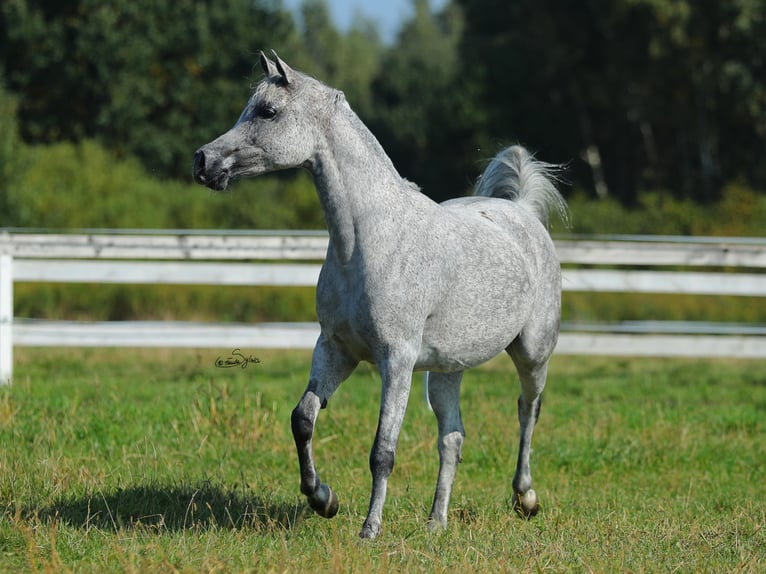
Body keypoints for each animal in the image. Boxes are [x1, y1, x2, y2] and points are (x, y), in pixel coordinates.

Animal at [194, 51, 568, 544]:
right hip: (447, 370)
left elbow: (382, 452)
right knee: (452, 438)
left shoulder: (397, 360)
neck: (370, 241)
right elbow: (303, 418)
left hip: (532, 353)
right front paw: (323, 499)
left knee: (528, 411)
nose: (203, 160)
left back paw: (525, 498)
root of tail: (523, 211)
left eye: (268, 112)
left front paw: (369, 530)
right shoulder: (336, 350)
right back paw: (435, 523)